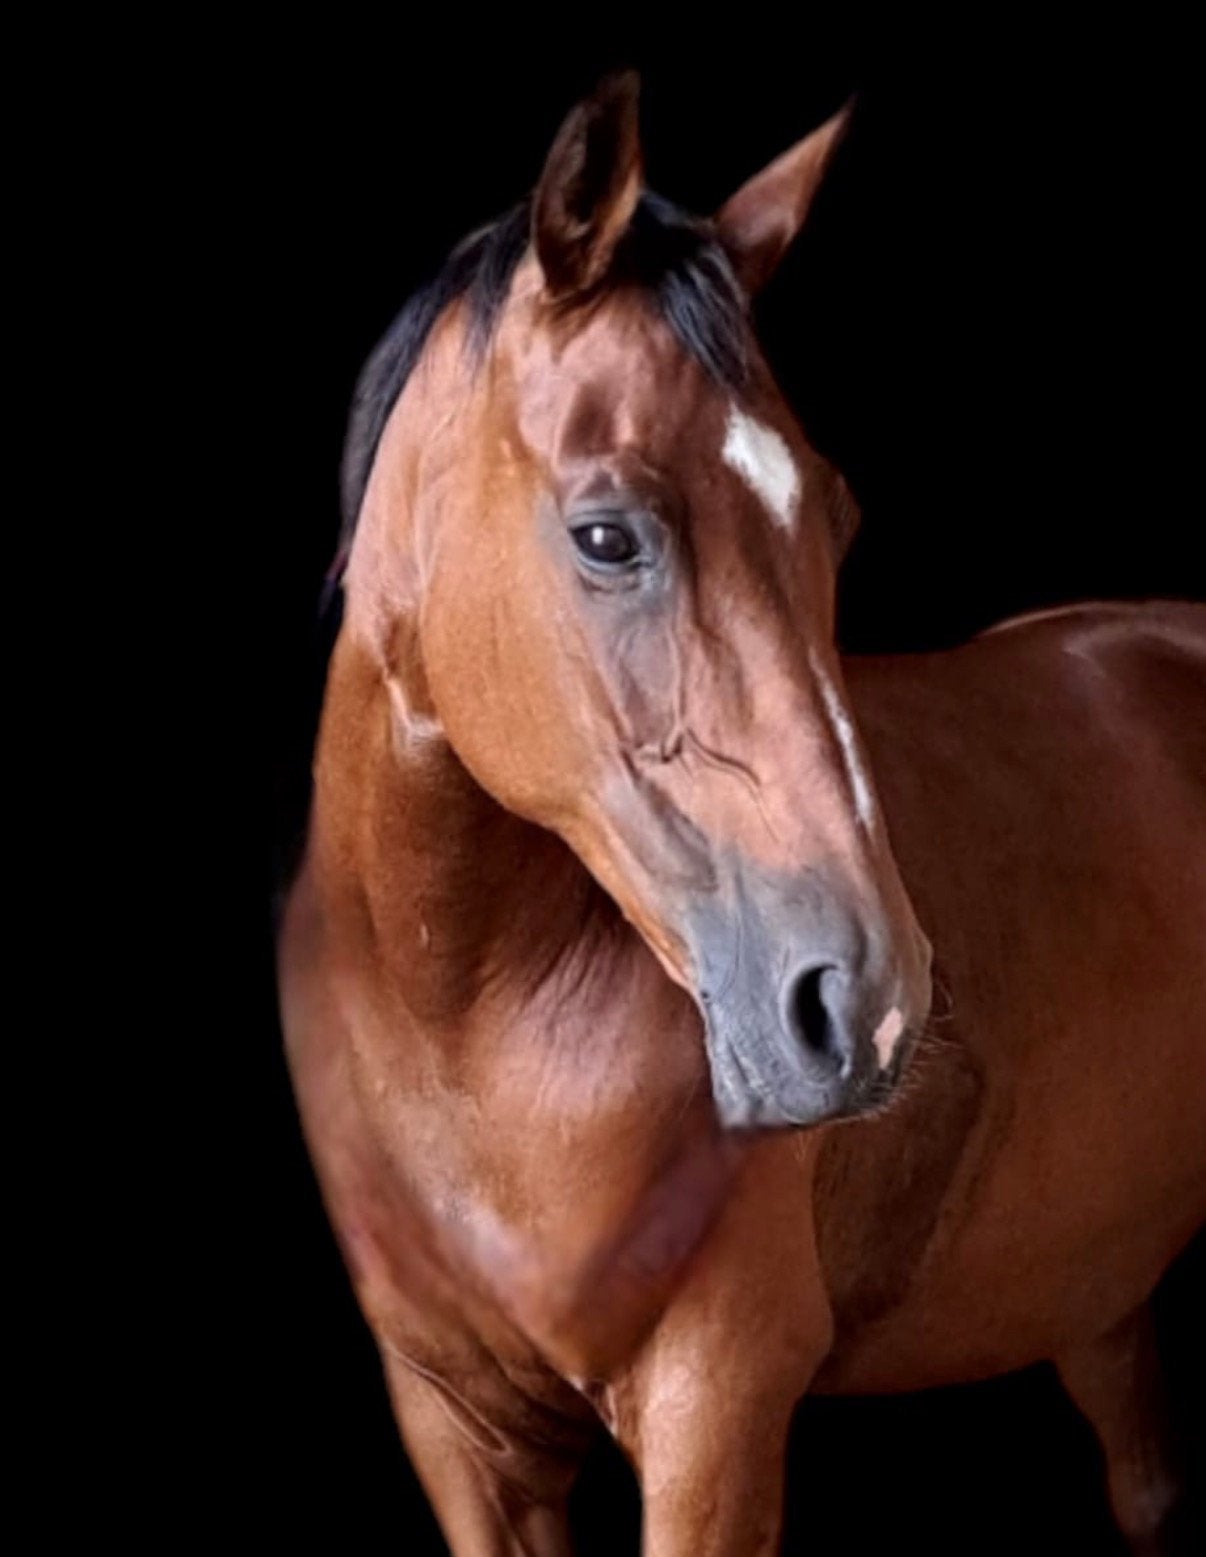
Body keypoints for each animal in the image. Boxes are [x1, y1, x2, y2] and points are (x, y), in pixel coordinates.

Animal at [276, 73, 1206, 1555]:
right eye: (607, 534)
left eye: (835, 517)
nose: (869, 1005)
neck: (458, 1025)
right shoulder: (458, 1435)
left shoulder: (716, 1406)